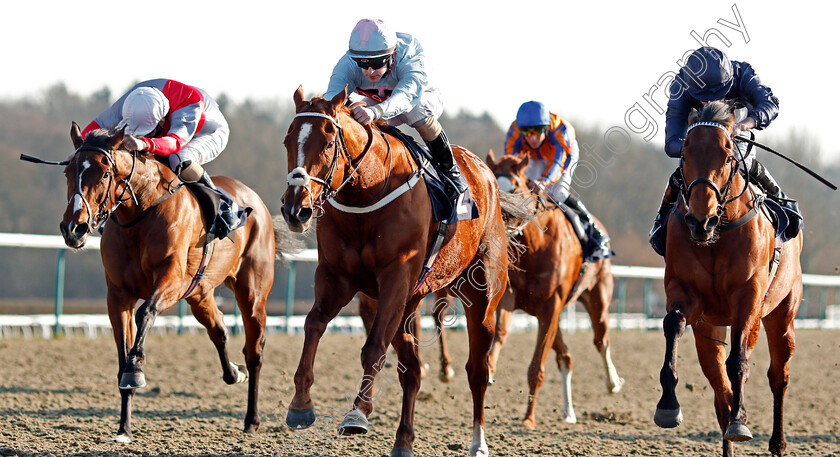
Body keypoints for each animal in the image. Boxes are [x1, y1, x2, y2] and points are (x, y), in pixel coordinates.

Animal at [58, 124, 278, 442]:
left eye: (104, 173)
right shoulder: (118, 296)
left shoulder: (172, 279)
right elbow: (123, 354)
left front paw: (135, 371)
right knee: (219, 331)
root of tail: (255, 201)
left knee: (254, 351)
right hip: (200, 294)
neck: (140, 214)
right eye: (68, 171)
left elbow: (145, 313)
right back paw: (233, 373)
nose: (74, 228)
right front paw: (123, 428)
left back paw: (252, 419)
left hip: (252, 293)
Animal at [278, 86, 508, 456]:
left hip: (480, 295)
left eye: (327, 143)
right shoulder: (336, 277)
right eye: (288, 141)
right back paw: (403, 441)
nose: (295, 209)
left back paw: (478, 442)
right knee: (412, 370)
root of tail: (486, 176)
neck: (367, 192)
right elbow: (313, 324)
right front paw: (300, 405)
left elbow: (373, 347)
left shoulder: (395, 277)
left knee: (477, 370)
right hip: (408, 303)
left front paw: (357, 413)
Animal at [480, 151, 624, 428]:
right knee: (566, 357)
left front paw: (528, 418)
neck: (535, 247)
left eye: (514, 187)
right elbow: (500, 334)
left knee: (601, 340)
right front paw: (489, 370)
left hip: (596, 299)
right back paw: (568, 412)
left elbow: (536, 367)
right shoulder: (511, 299)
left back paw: (613, 383)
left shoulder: (552, 305)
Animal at [652, 102, 804, 456]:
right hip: (710, 329)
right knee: (720, 388)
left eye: (727, 155)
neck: (718, 235)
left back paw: (777, 443)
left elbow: (739, 362)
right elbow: (672, 324)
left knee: (778, 375)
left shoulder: (747, 298)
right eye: (684, 154)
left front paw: (741, 421)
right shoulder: (686, 294)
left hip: (782, 314)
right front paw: (667, 406)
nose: (700, 220)